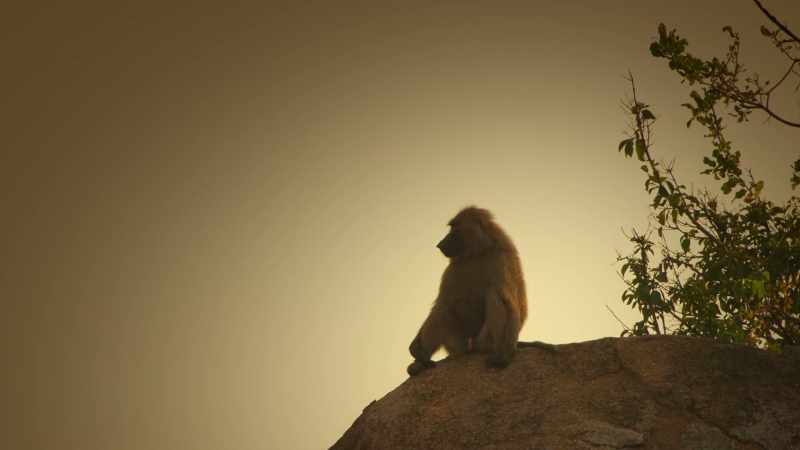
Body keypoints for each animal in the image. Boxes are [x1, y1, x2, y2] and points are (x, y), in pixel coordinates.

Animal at [407, 206, 553, 376]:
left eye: (454, 228)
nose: (440, 244)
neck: (478, 252)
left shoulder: (501, 260)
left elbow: (509, 303)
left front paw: (504, 358)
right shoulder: (453, 268)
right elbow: (443, 301)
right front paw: (416, 349)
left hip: (483, 339)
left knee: (494, 296)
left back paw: (496, 353)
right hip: (459, 344)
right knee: (444, 309)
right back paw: (421, 359)